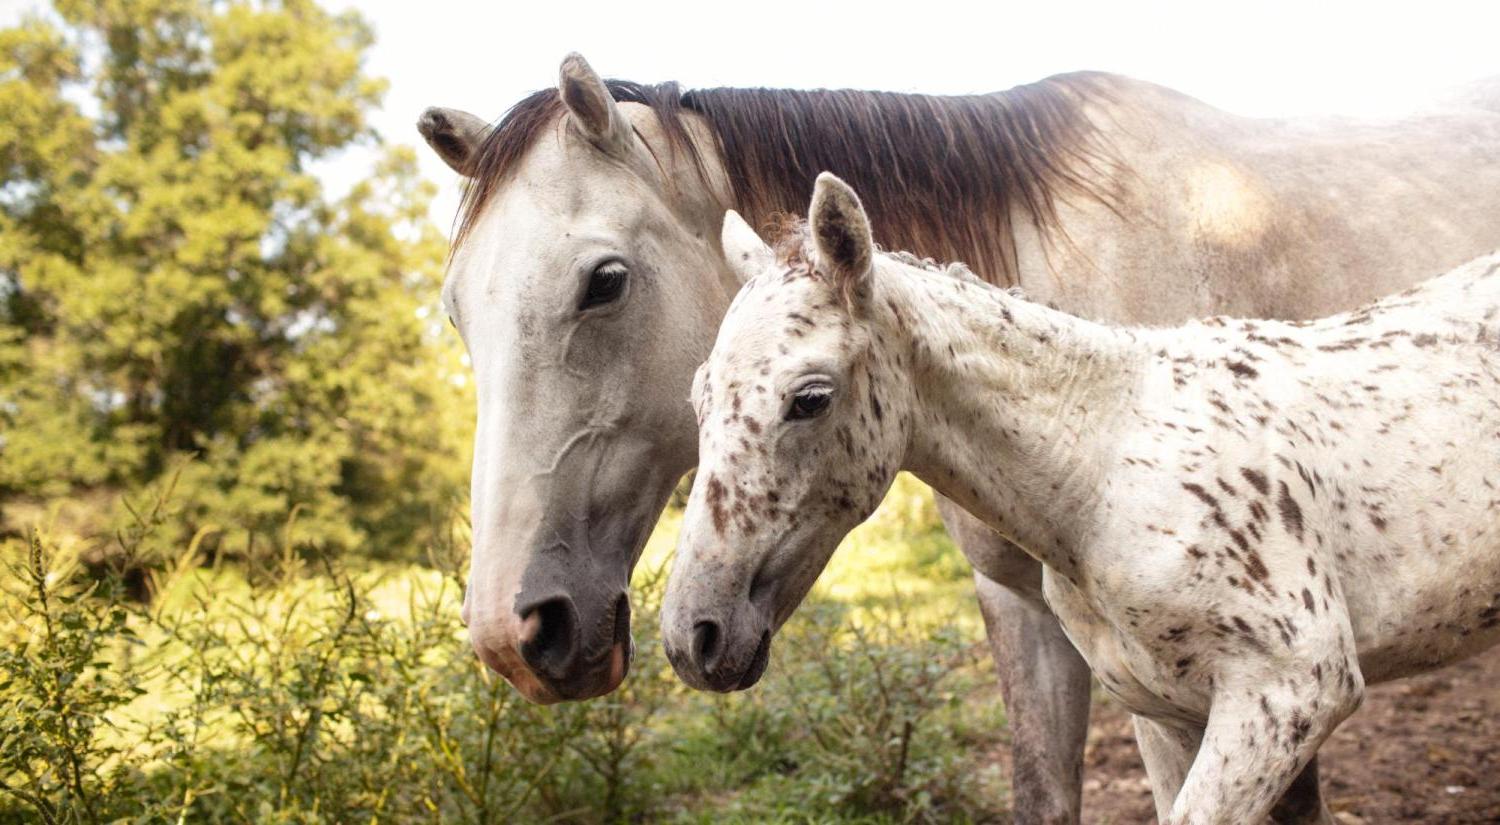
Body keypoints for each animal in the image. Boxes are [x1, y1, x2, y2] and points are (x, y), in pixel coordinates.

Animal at [663, 171, 1500, 822]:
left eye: (809, 397)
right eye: (699, 395)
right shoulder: (1168, 711)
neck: (1103, 468)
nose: (694, 636)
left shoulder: (1293, 688)